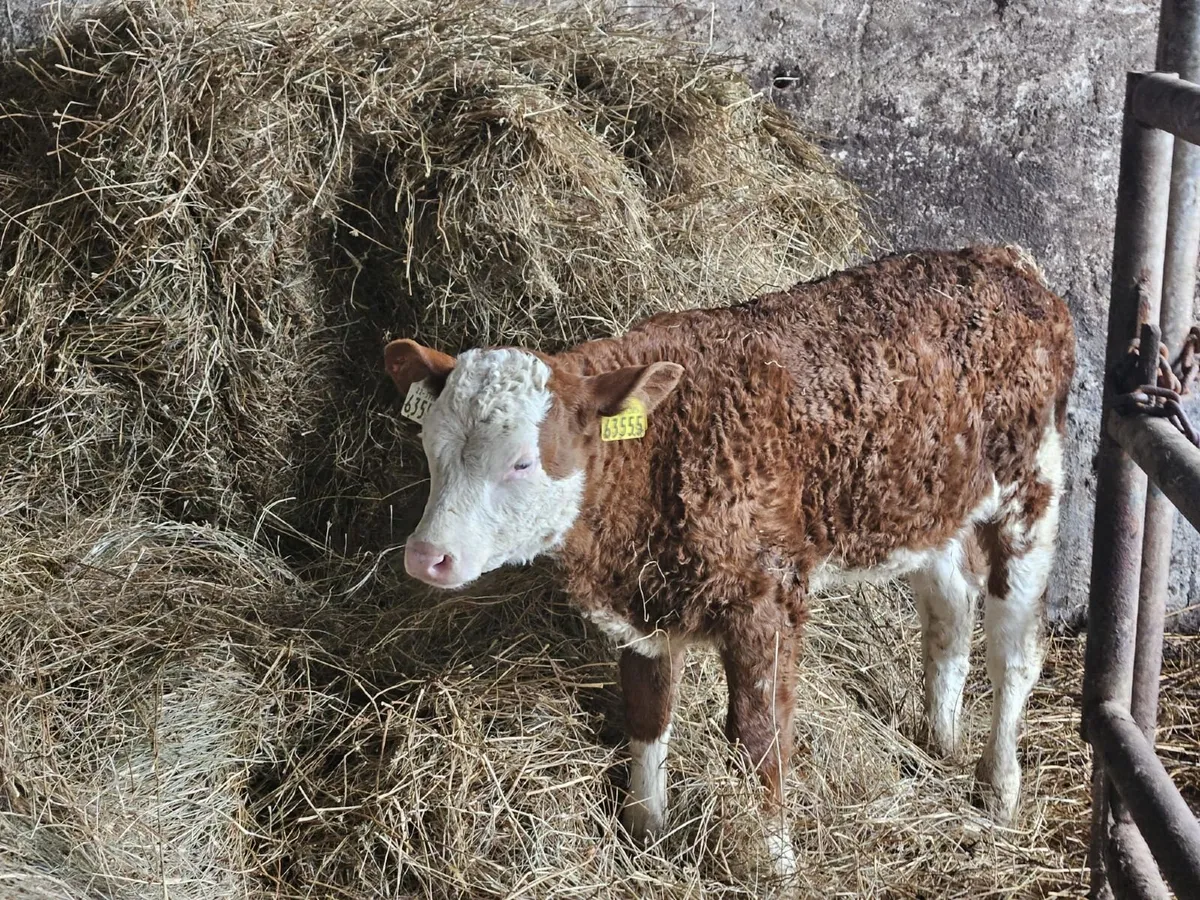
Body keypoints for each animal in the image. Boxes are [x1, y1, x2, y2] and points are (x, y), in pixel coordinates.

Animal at [384, 246, 1075, 875]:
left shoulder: (765, 599)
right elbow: (648, 713)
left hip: (1031, 488)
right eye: (430, 447)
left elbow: (758, 733)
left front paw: (773, 858)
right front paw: (646, 831)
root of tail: (1003, 260)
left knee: (1014, 649)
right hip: (929, 504)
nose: (426, 556)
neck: (656, 454)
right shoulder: (644, 602)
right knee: (949, 613)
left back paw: (998, 787)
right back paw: (939, 739)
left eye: (524, 462)